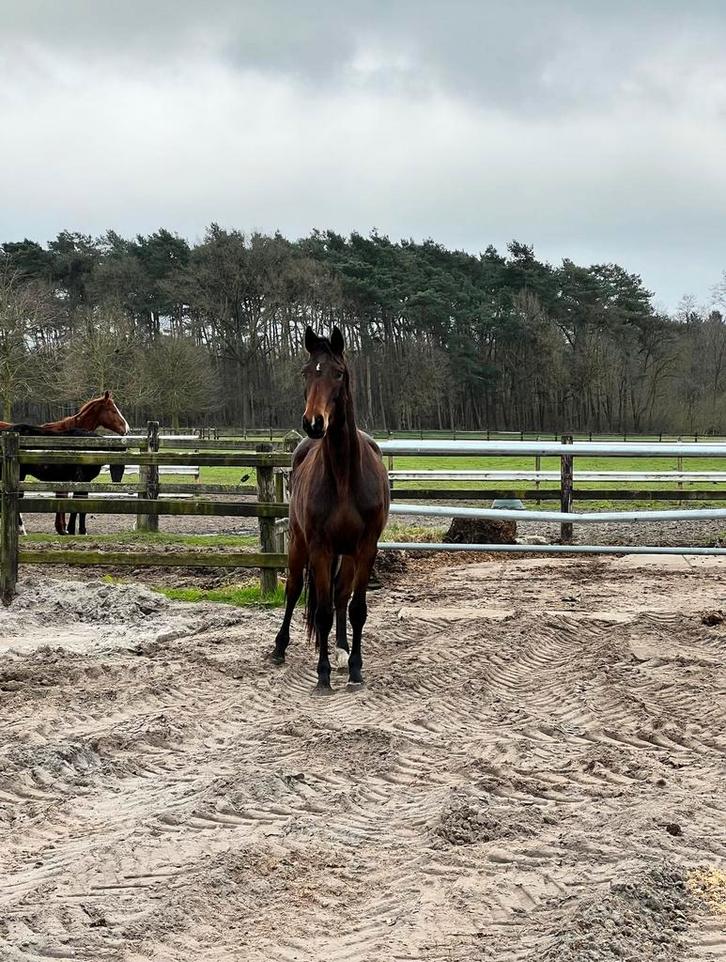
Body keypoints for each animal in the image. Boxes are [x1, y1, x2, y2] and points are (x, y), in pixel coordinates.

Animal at [271, 325, 390, 690]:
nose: (314, 423)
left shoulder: (365, 547)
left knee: (341, 595)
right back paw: (279, 648)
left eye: (338, 373)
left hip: (346, 553)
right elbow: (320, 611)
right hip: (298, 543)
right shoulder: (320, 547)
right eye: (306, 372)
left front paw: (355, 668)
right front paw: (322, 674)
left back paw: (341, 649)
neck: (343, 476)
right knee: (294, 589)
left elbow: (356, 608)